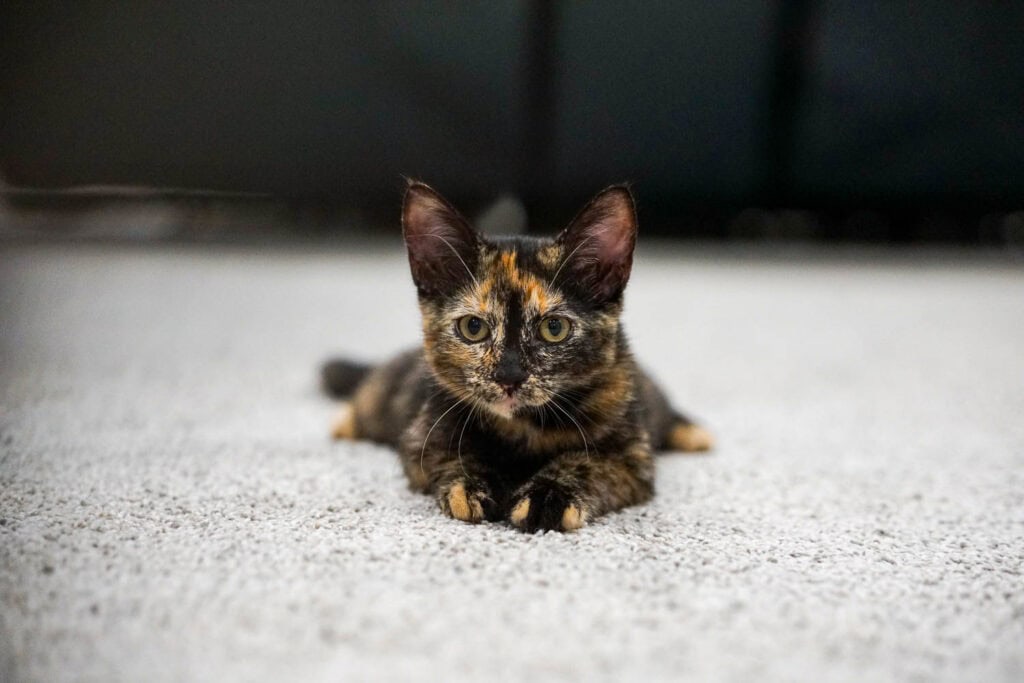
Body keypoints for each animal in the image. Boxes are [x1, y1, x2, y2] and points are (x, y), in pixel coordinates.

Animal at [323, 181, 712, 532]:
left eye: (554, 328)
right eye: (473, 328)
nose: (508, 376)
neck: (523, 428)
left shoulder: (633, 457)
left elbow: (587, 462)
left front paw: (548, 497)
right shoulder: (422, 437)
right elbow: (457, 455)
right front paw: (477, 485)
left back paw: (692, 432)